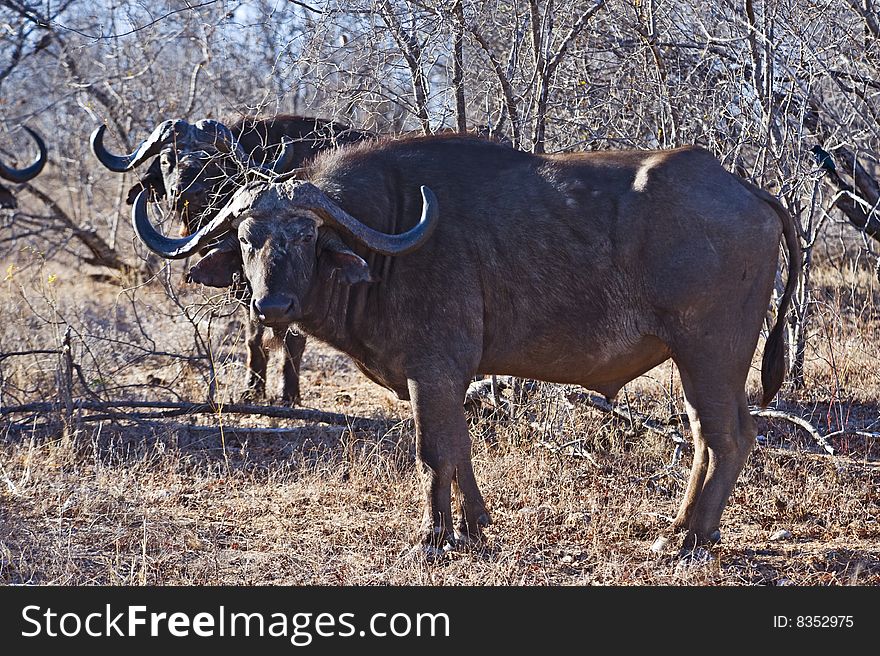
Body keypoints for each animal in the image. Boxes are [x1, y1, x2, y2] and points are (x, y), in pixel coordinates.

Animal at [92, 115, 372, 408]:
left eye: (211, 159)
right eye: (168, 159)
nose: (185, 192)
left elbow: (292, 341)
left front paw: (289, 393)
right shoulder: (250, 293)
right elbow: (253, 338)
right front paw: (252, 390)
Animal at [132, 135, 804, 552]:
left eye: (303, 236)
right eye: (248, 238)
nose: (271, 306)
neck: (392, 237)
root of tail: (745, 189)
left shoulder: (431, 372)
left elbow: (434, 453)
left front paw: (433, 537)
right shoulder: (442, 378)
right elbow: (459, 451)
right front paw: (475, 527)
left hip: (709, 354)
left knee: (727, 436)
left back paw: (690, 538)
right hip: (703, 363)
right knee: (714, 436)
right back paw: (684, 527)